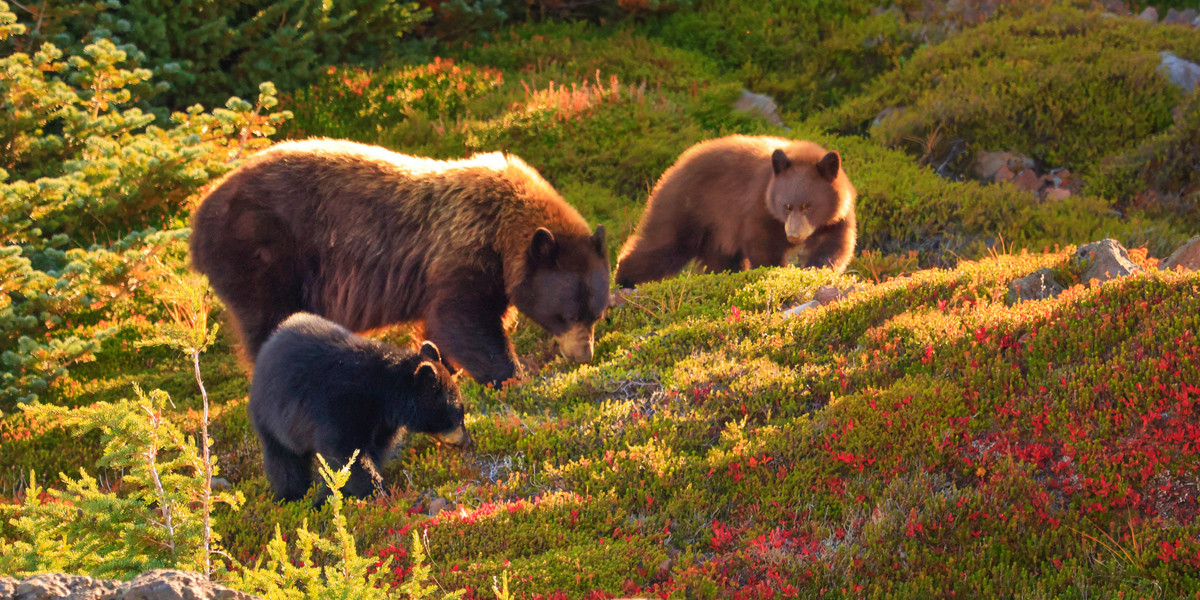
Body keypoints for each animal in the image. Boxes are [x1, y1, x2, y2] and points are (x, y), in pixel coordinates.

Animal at [190, 139, 611, 387]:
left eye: (597, 313)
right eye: (565, 315)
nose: (583, 356)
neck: (500, 231)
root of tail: (199, 214)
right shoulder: (462, 254)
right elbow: (464, 321)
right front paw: (510, 377)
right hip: (262, 256)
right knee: (271, 324)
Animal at [248, 312, 470, 502]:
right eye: (457, 414)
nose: (467, 441)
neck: (384, 395)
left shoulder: (382, 424)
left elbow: (374, 451)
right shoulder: (341, 406)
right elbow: (347, 453)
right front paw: (377, 492)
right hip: (269, 415)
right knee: (283, 459)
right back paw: (290, 496)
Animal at [614, 135, 856, 288]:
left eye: (808, 206)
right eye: (786, 206)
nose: (794, 235)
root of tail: (675, 165)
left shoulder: (836, 218)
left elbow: (833, 246)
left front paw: (816, 270)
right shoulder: (759, 207)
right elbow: (762, 244)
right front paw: (776, 272)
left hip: (715, 232)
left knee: (721, 259)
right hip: (687, 206)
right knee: (663, 244)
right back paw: (623, 280)